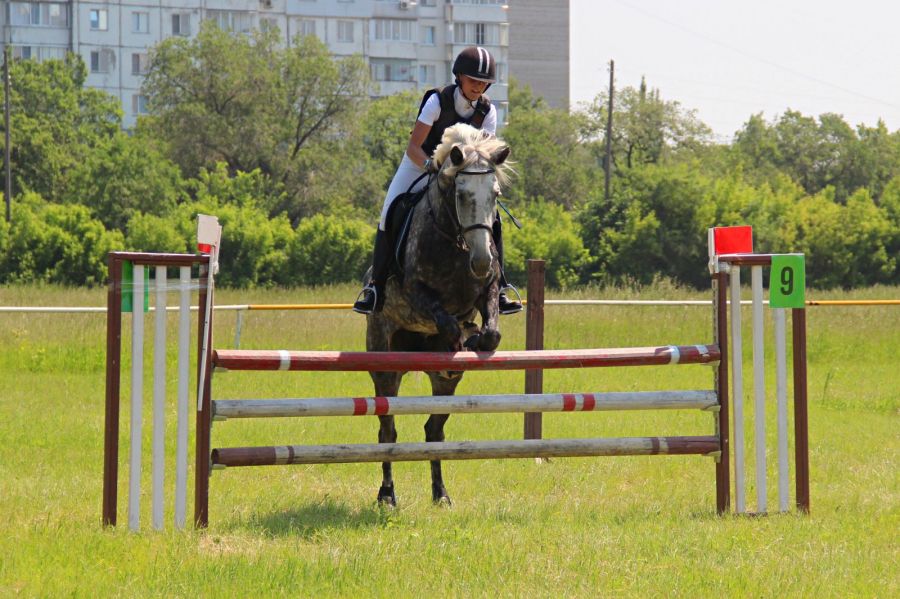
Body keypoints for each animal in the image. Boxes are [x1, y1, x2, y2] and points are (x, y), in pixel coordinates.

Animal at [362, 124, 510, 508]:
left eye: (495, 195)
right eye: (461, 194)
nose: (482, 261)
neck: (456, 241)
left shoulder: (488, 290)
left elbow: (491, 331)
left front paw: (474, 338)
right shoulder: (416, 294)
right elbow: (446, 321)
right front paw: (460, 340)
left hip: (446, 387)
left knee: (434, 429)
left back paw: (441, 494)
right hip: (384, 362)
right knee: (387, 430)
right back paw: (387, 495)